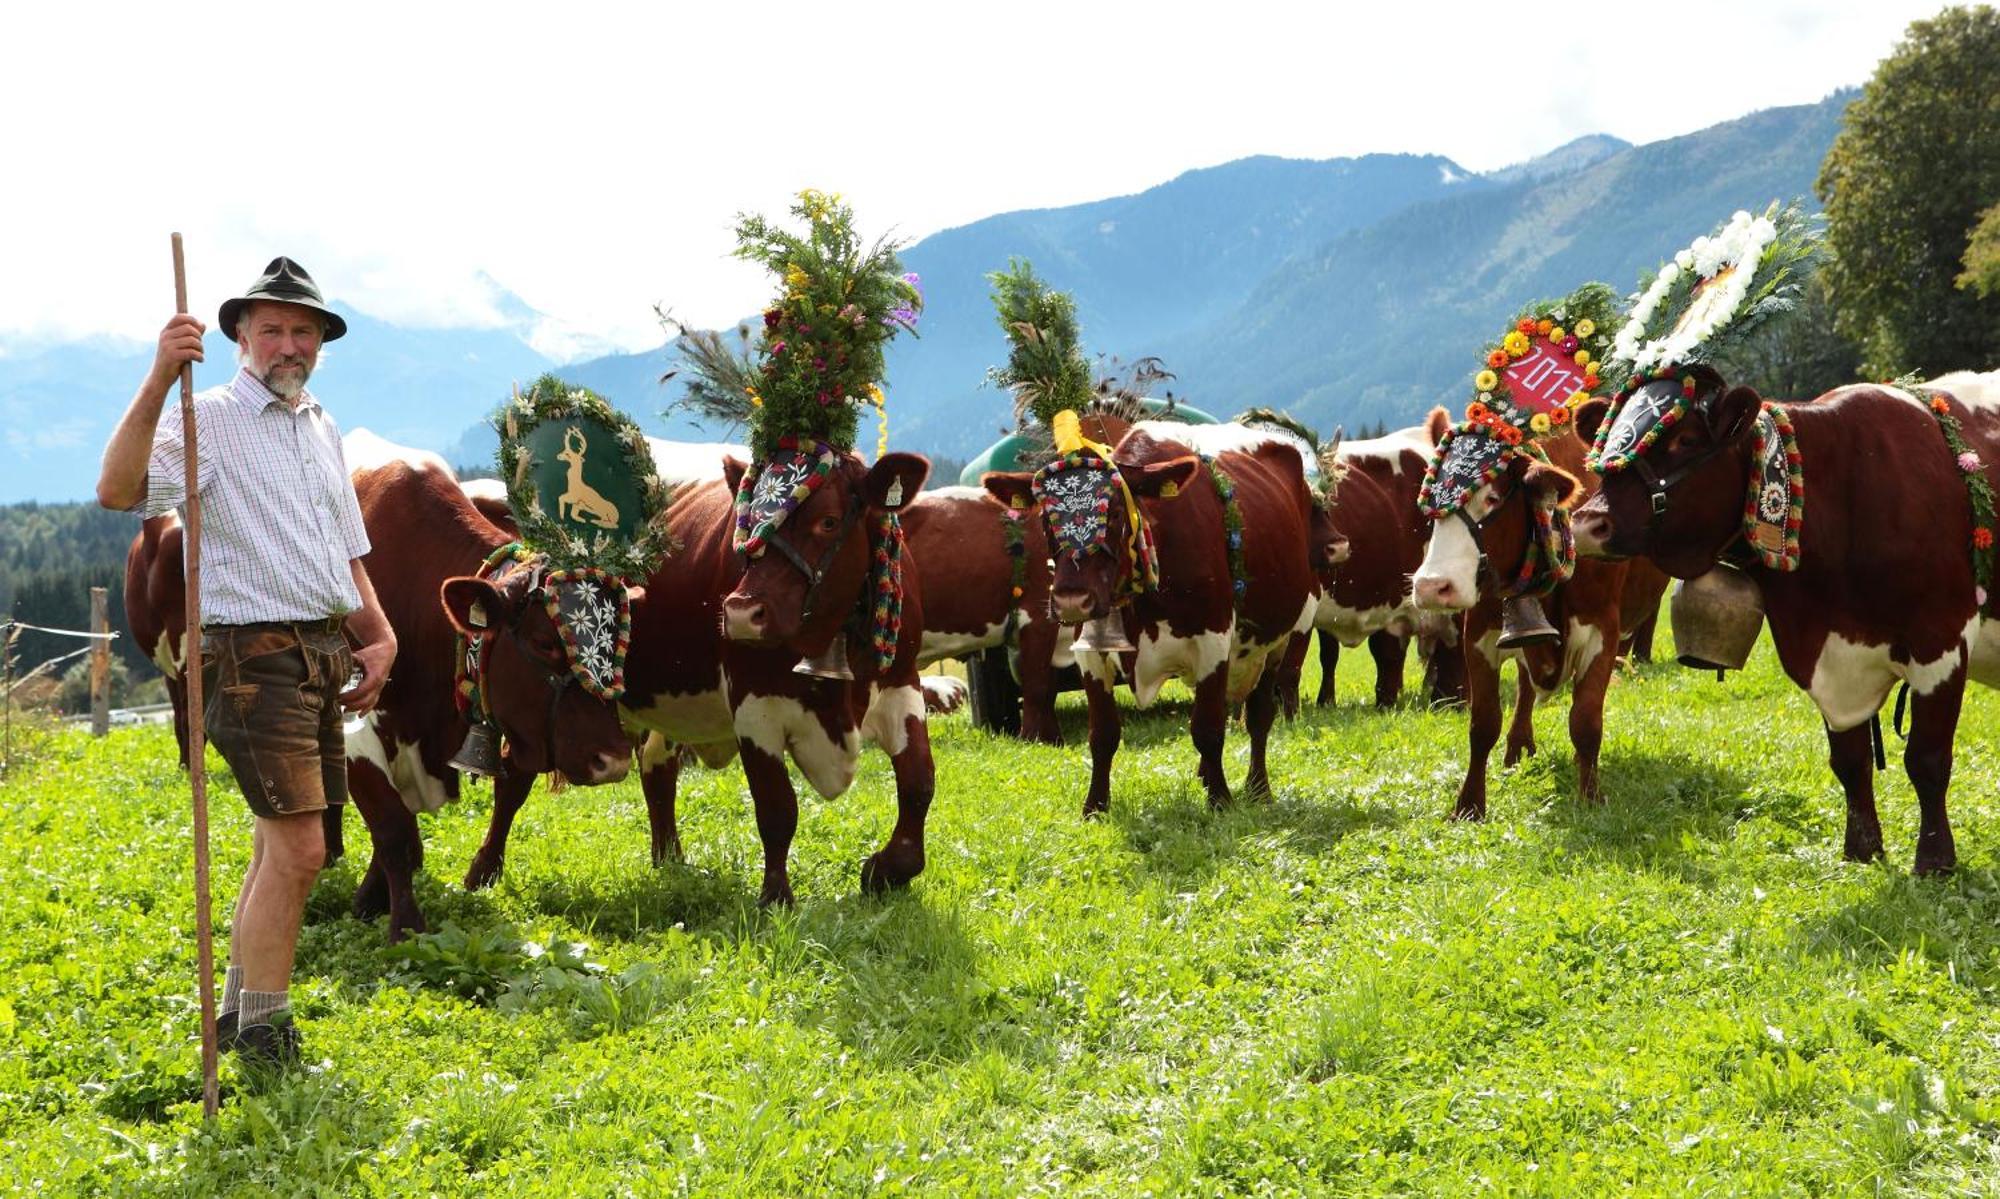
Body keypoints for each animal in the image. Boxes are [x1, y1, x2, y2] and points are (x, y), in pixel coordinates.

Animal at [1416, 409, 1632, 815]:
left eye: (1492, 498)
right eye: (1430, 501)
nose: (1431, 587)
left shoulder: (1603, 629)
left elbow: (1586, 721)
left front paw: (1590, 797)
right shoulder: (1479, 632)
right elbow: (1483, 724)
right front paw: (1469, 805)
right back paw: (1517, 748)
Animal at [1576, 365, 2000, 871]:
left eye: (1686, 439)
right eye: (1606, 439)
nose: (1588, 524)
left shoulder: (1941, 640)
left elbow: (1927, 760)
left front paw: (1934, 861)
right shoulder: (1825, 653)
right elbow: (1850, 761)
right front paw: (1861, 851)